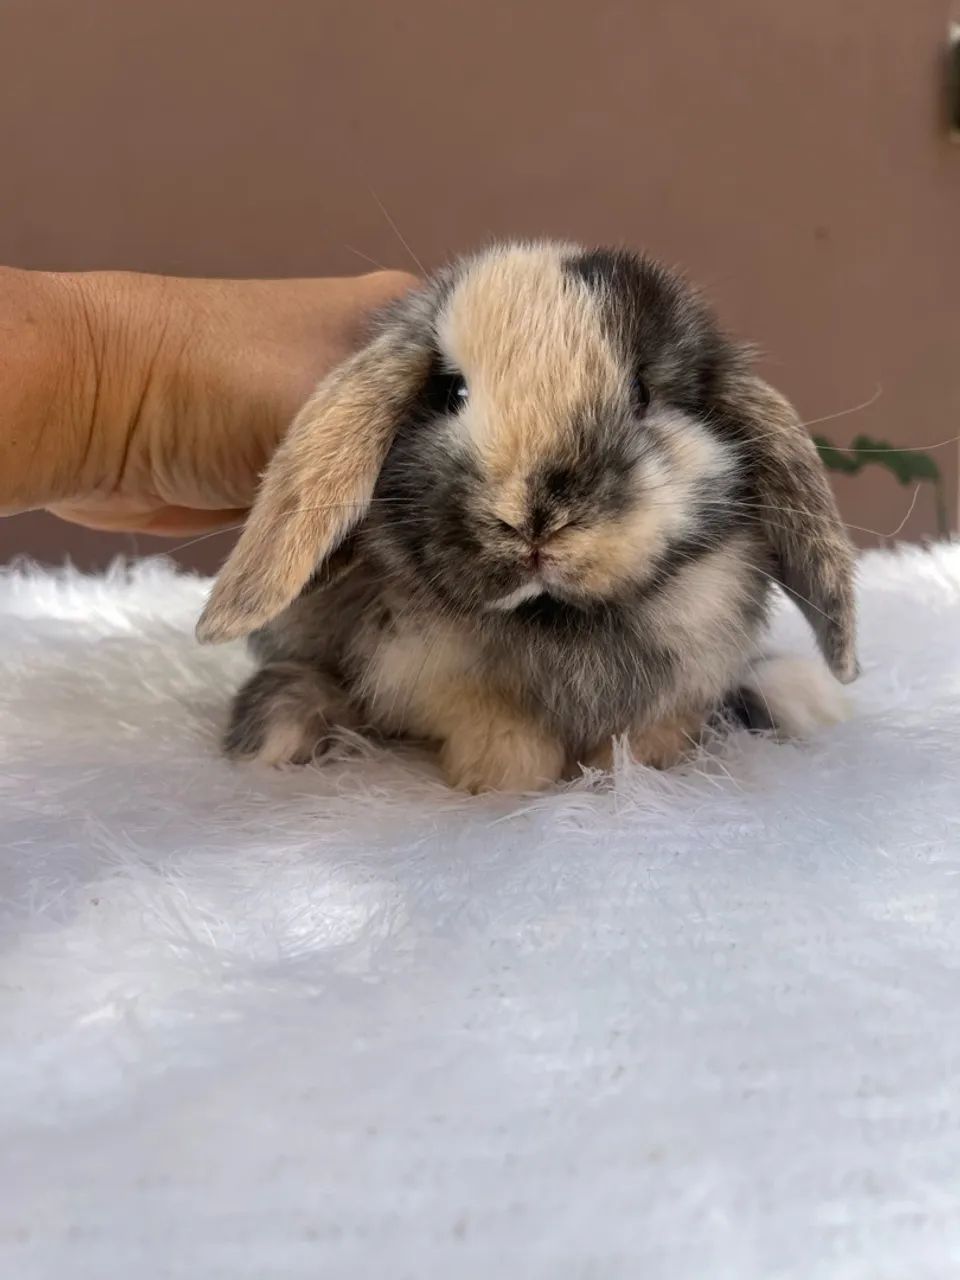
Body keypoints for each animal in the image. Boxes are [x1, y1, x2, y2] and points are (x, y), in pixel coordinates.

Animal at [196, 241, 858, 793]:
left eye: (642, 393)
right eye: (452, 393)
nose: (533, 519)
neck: (555, 618)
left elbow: (648, 736)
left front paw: (632, 778)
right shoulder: (444, 685)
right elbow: (504, 740)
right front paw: (504, 786)